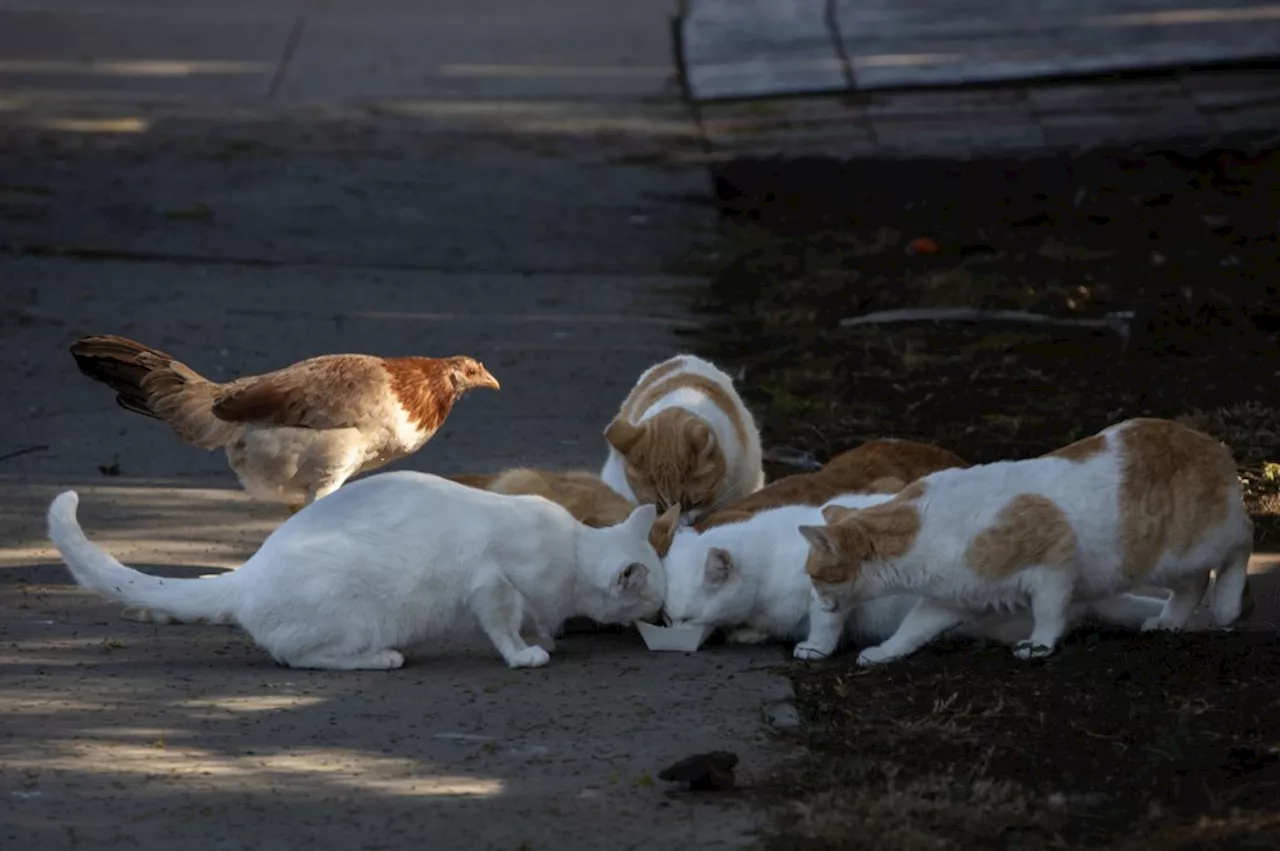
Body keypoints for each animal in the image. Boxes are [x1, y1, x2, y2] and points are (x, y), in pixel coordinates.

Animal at [46, 468, 675, 665]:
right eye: (655, 599)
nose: (666, 616)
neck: (572, 549)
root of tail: (249, 571)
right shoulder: (492, 582)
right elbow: (504, 626)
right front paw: (526, 654)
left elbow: (535, 618)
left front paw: (543, 635)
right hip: (349, 607)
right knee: (299, 656)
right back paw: (383, 657)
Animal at [660, 491, 1172, 650]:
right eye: (667, 619)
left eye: (685, 621)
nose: (673, 636)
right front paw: (749, 632)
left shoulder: (826, 593)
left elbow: (823, 625)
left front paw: (809, 647)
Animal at [793, 417, 1254, 665]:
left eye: (815, 576)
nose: (815, 601)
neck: (922, 532)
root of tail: (1211, 440)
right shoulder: (950, 600)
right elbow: (911, 630)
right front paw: (884, 653)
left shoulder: (1054, 564)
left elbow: (1049, 613)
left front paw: (1039, 646)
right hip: (1166, 561)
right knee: (1194, 584)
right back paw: (1170, 621)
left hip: (1194, 543)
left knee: (1241, 542)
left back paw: (1228, 607)